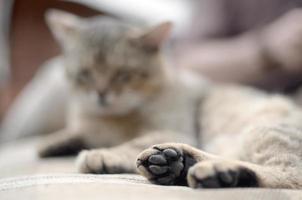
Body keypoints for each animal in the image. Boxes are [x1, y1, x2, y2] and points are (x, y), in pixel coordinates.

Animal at [40, 10, 302, 190]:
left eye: (123, 75)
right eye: (84, 75)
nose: (101, 95)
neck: (111, 118)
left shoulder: (174, 128)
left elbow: (131, 143)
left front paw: (103, 154)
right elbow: (77, 133)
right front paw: (52, 143)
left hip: (262, 130)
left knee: (290, 177)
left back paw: (220, 173)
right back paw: (177, 163)